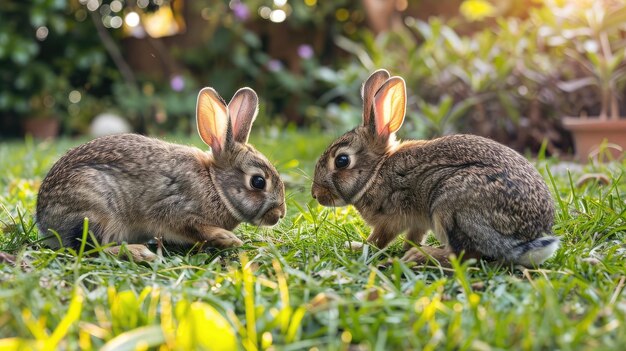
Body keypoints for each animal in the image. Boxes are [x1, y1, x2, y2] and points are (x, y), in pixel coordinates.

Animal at [36, 86, 286, 260]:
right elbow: (194, 227)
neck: (214, 184)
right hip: (95, 210)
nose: (280, 214)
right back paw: (138, 252)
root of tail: (44, 220)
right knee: (91, 249)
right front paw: (228, 238)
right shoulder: (176, 211)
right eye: (258, 182)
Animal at [310, 69, 560, 266]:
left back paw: (420, 257)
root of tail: (526, 238)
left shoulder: (390, 219)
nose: (315, 194)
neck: (376, 172)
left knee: (465, 255)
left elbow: (379, 239)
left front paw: (357, 247)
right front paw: (405, 246)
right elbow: (414, 234)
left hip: (449, 205)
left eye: (342, 161)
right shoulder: (417, 222)